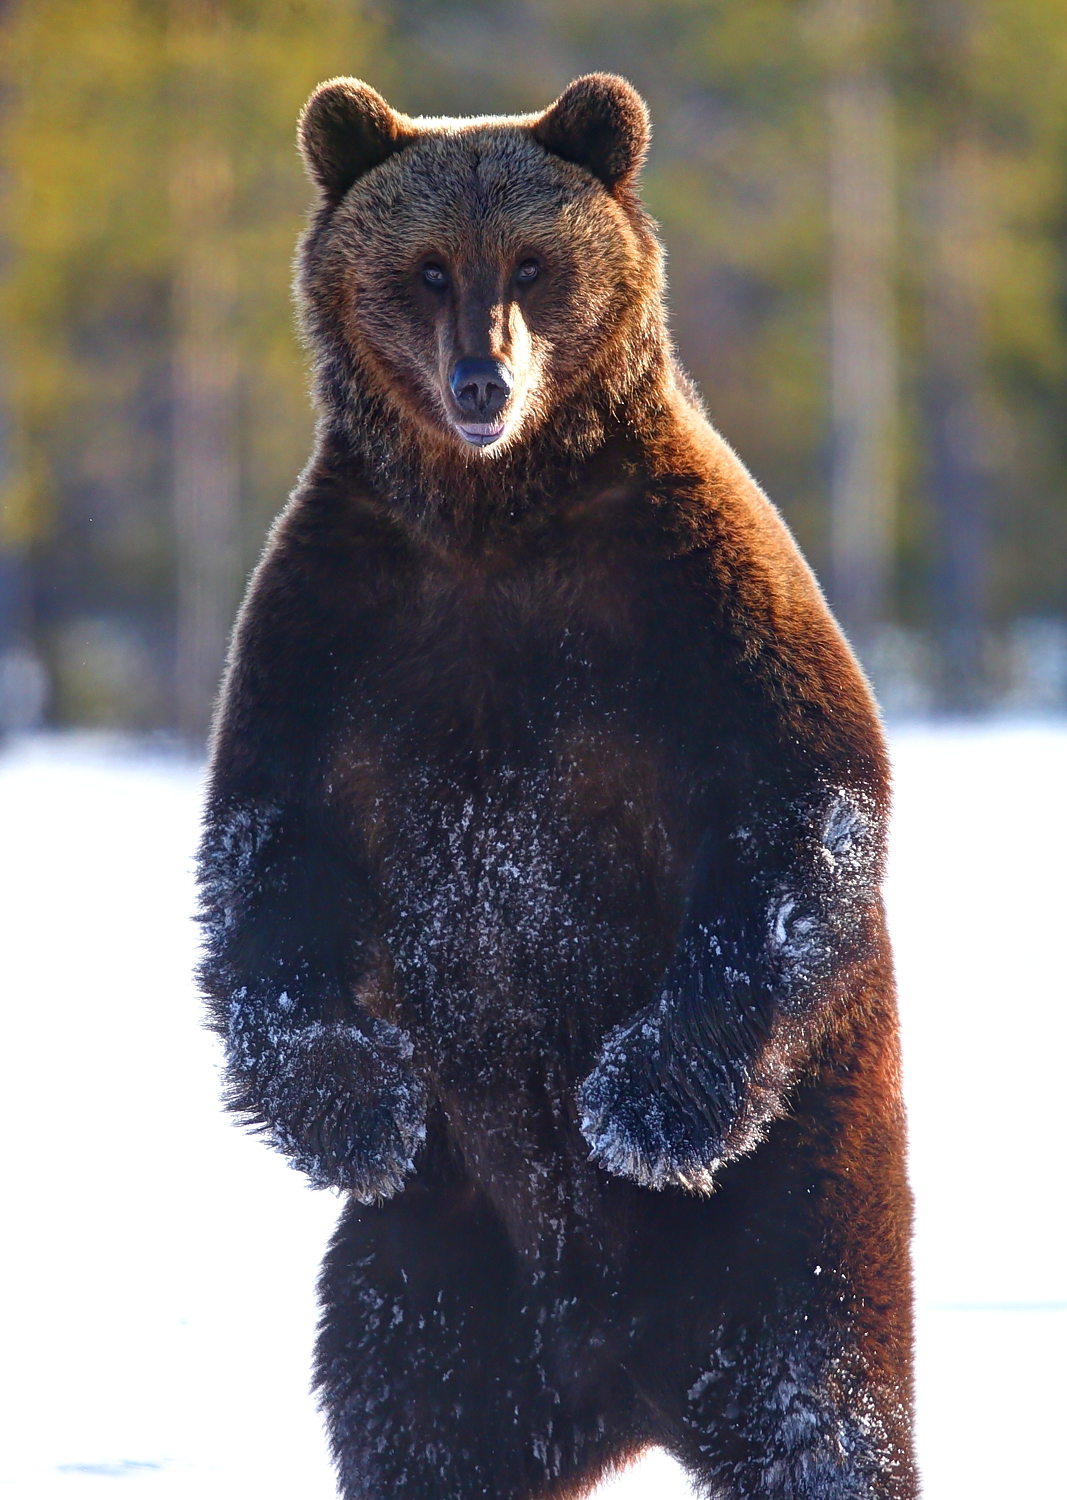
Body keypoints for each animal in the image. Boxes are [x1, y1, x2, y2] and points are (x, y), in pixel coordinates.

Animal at [198, 73, 916, 1500]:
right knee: (416, 1427)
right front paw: (353, 1110)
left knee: (819, 1416)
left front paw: (640, 1102)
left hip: (791, 1228)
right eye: (425, 268)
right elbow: (265, 855)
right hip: (431, 1271)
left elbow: (798, 811)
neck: (490, 517)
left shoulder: (687, 594)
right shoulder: (335, 621)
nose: (483, 378)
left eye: (532, 263)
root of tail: (616, 1383)